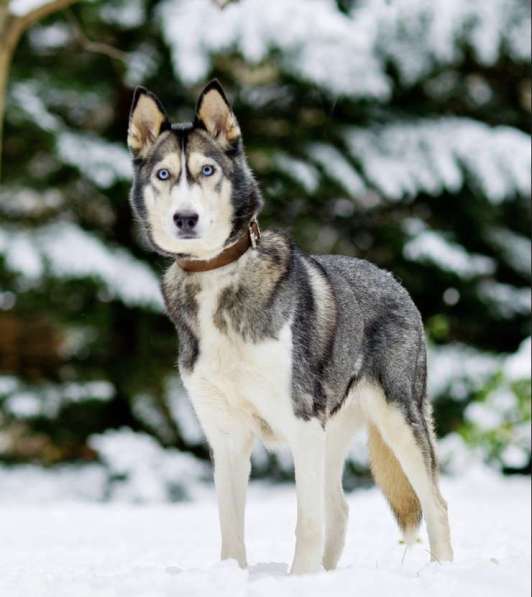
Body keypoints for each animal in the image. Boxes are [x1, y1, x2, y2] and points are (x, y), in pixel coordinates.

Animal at [125, 79, 454, 572]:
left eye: (207, 170)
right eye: (163, 175)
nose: (186, 218)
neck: (218, 275)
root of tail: (392, 279)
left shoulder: (300, 423)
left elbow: (307, 523)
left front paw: (298, 579)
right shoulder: (227, 437)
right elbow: (231, 531)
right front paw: (234, 575)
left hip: (398, 420)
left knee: (434, 502)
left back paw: (441, 570)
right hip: (332, 433)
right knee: (340, 507)